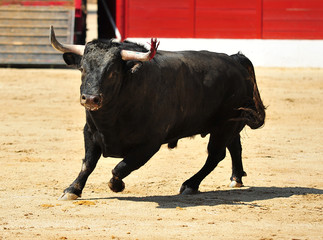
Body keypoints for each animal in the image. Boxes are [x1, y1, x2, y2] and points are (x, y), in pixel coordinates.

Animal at [50, 26, 266, 200]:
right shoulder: (90, 133)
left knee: (215, 155)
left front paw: (116, 185)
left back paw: (190, 184)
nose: (90, 99)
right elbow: (87, 164)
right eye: (82, 69)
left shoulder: (150, 143)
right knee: (234, 147)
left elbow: (122, 166)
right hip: (230, 122)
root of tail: (234, 60)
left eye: (112, 72)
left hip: (224, 126)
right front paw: (72, 190)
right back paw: (236, 178)